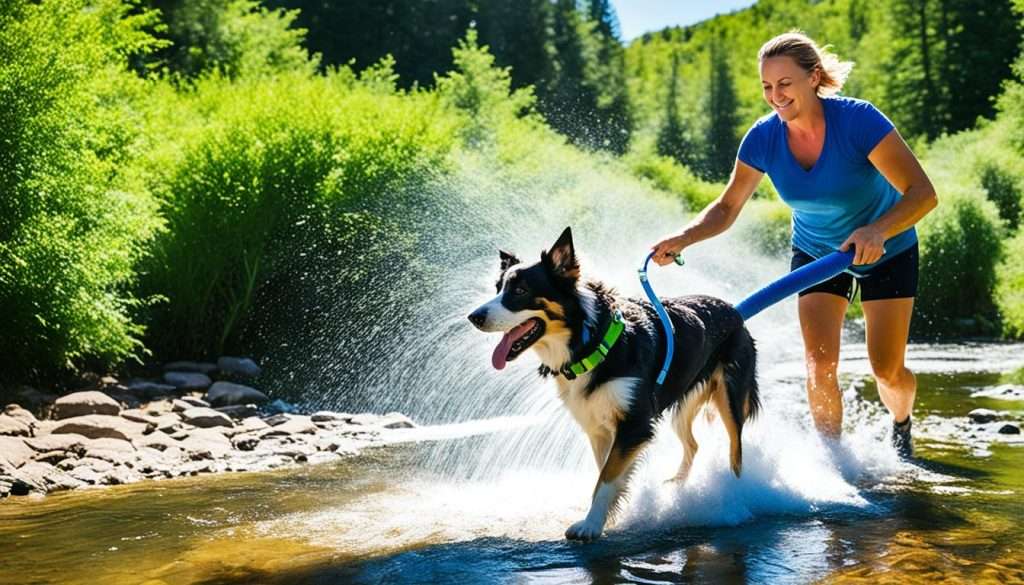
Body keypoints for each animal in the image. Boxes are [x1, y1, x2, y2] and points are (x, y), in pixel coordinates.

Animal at [466, 226, 761, 540]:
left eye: (521, 291)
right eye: (497, 288)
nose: (474, 317)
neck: (591, 342)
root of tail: (734, 310)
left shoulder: (635, 424)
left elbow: (606, 477)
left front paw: (591, 524)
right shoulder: (599, 427)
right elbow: (607, 473)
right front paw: (612, 515)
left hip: (730, 396)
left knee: (735, 452)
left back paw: (734, 495)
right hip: (684, 405)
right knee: (693, 445)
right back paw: (679, 486)